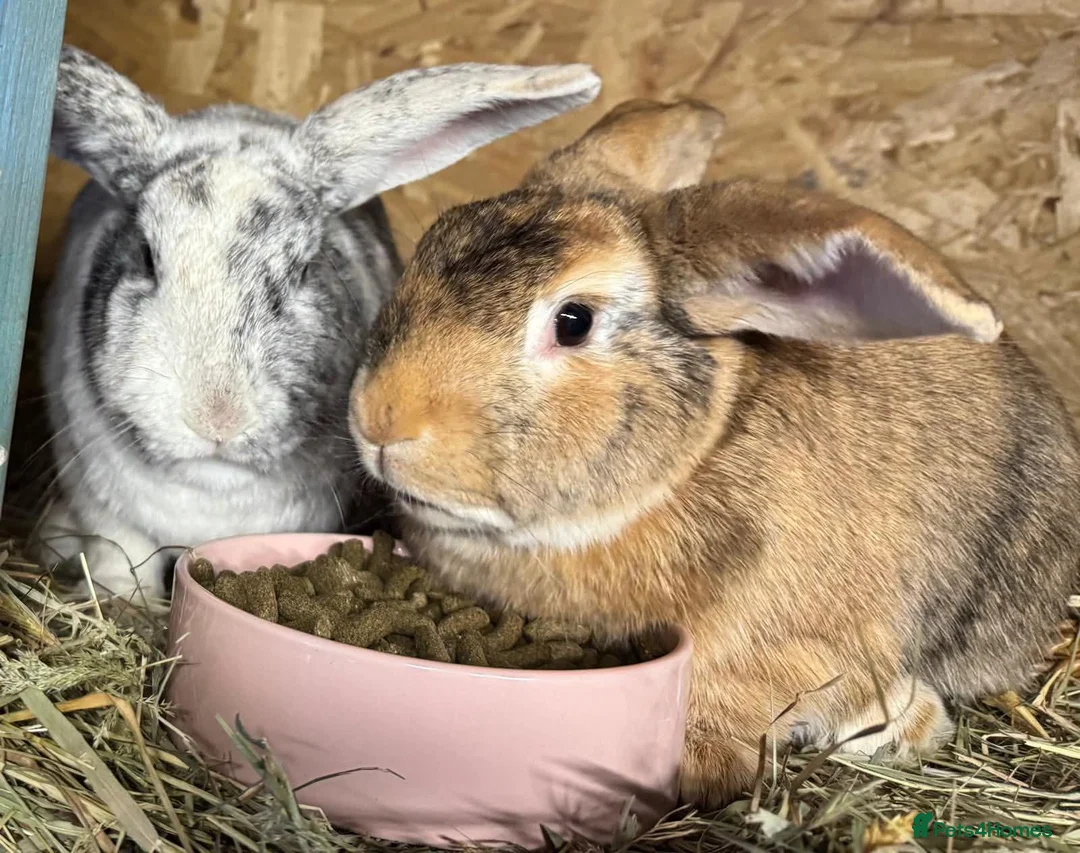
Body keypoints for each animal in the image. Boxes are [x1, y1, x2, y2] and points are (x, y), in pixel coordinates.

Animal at [37, 44, 601, 606]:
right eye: (146, 256)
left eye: (306, 268)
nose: (217, 418)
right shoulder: (103, 510)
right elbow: (119, 557)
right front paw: (125, 602)